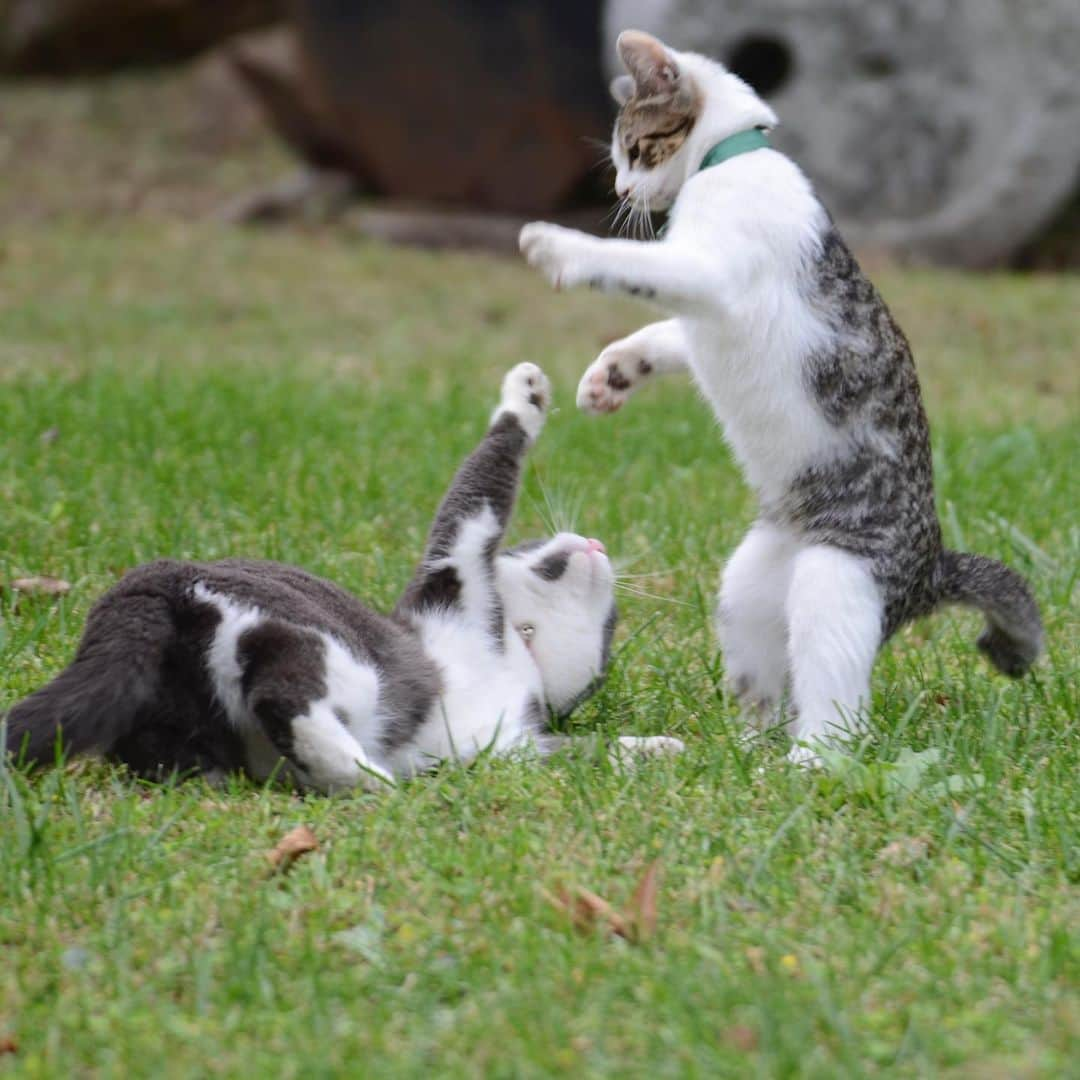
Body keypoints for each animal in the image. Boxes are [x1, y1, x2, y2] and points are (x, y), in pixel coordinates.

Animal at [4, 365, 682, 794]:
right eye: (535, 542)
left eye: (611, 627)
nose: (594, 542)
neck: (517, 654)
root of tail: (148, 584)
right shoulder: (455, 569)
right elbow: (484, 478)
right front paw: (527, 393)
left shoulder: (511, 748)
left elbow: (588, 755)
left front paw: (660, 748)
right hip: (340, 656)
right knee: (284, 694)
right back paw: (366, 776)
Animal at [518, 31, 1041, 760]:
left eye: (634, 149)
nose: (621, 188)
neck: (727, 159)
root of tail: (929, 571)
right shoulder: (706, 311)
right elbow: (665, 331)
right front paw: (614, 373)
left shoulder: (711, 276)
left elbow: (636, 266)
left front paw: (561, 247)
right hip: (750, 585)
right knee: (767, 679)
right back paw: (744, 750)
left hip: (835, 583)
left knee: (834, 709)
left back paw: (804, 764)